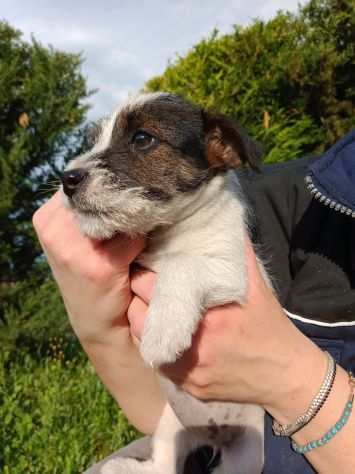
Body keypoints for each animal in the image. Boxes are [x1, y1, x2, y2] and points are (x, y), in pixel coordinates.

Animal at [61, 92, 272, 474]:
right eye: (95, 140)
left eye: (142, 138)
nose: (66, 178)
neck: (169, 233)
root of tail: (215, 436)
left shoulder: (233, 269)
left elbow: (183, 265)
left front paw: (162, 333)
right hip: (170, 426)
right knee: (162, 465)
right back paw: (122, 467)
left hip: (247, 455)